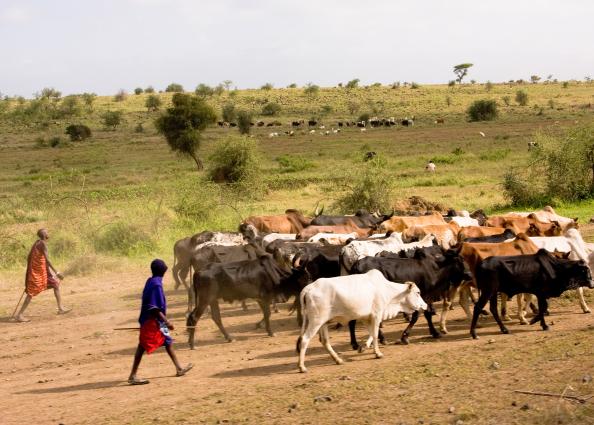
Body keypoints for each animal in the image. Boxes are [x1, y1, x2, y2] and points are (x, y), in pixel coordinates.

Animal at [296, 270, 426, 372]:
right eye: (418, 293)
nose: (425, 306)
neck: (388, 291)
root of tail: (309, 288)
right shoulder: (377, 314)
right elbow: (375, 334)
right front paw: (377, 353)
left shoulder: (366, 317)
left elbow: (372, 333)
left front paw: (363, 346)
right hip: (316, 321)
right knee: (305, 339)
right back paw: (302, 367)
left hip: (323, 323)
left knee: (324, 341)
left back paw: (338, 360)